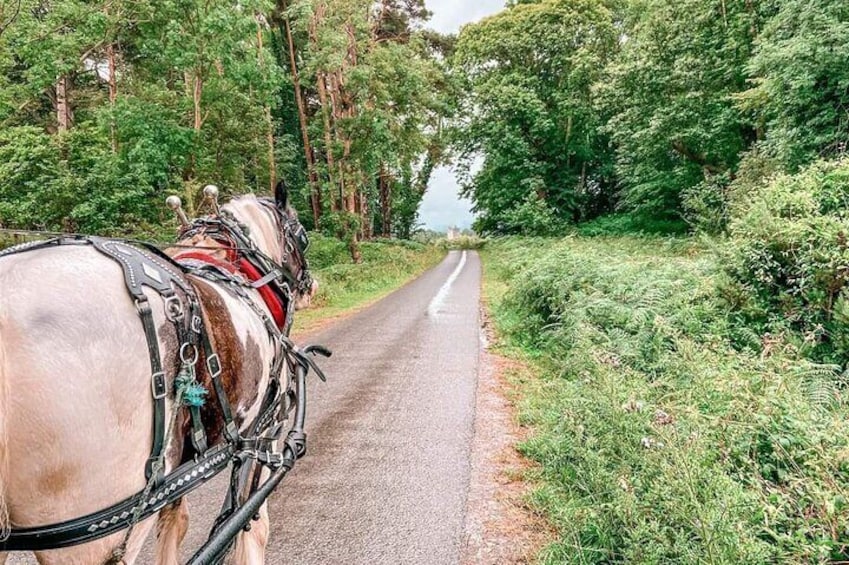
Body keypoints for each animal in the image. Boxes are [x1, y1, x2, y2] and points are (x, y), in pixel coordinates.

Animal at [0, 182, 316, 564]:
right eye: (302, 237)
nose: (311, 285)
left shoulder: (176, 469)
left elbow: (175, 521)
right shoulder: (265, 430)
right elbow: (251, 522)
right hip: (94, 527)